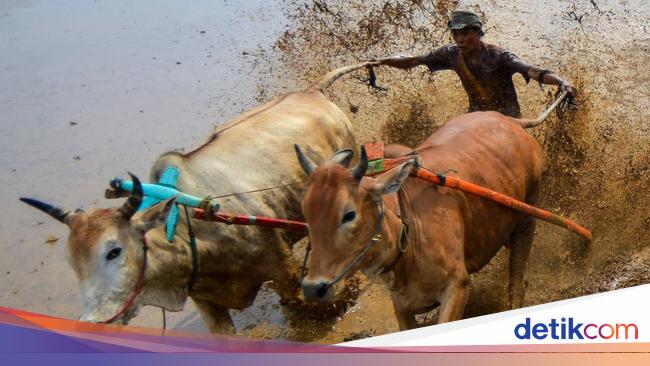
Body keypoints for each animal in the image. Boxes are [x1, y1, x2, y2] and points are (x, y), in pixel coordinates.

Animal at [20, 62, 374, 332]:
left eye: (114, 251)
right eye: (72, 261)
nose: (94, 322)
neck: (189, 228)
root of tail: (311, 92)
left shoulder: (283, 270)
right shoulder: (207, 303)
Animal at [296, 111, 544, 328]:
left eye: (349, 214)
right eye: (306, 214)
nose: (312, 288)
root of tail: (512, 121)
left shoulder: (457, 286)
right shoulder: (402, 306)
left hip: (527, 217)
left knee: (517, 279)